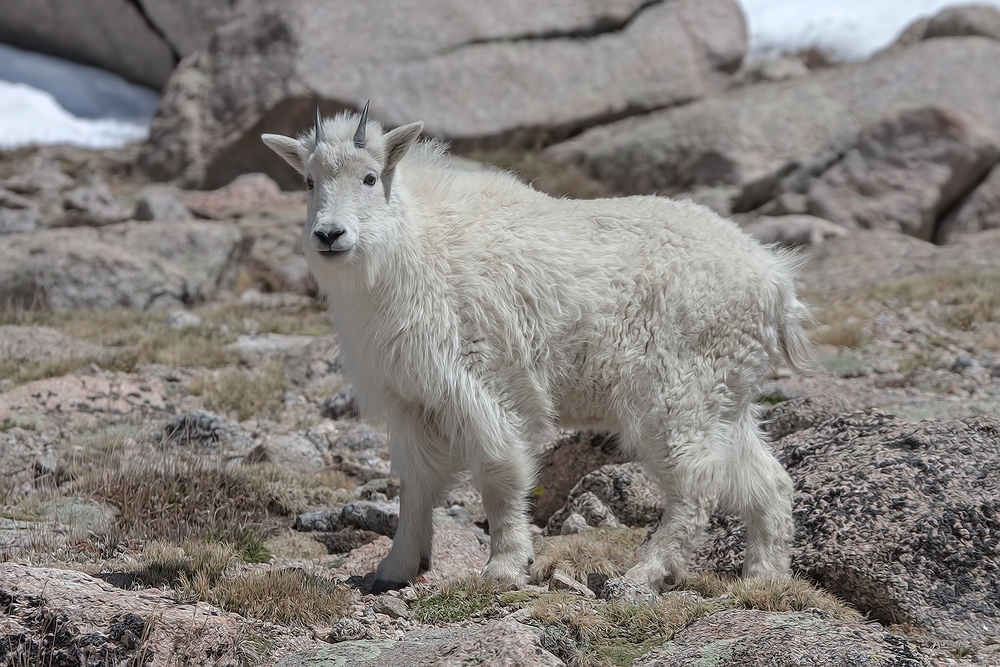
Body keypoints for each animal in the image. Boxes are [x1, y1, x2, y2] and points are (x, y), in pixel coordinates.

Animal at [264, 105, 812, 596]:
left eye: (370, 177)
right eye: (308, 181)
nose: (330, 235)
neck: (412, 249)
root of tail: (776, 283)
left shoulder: (484, 382)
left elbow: (499, 473)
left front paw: (506, 566)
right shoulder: (414, 399)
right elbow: (417, 486)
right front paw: (395, 569)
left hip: (680, 395)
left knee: (696, 486)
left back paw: (646, 573)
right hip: (726, 396)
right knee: (767, 480)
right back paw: (763, 578)